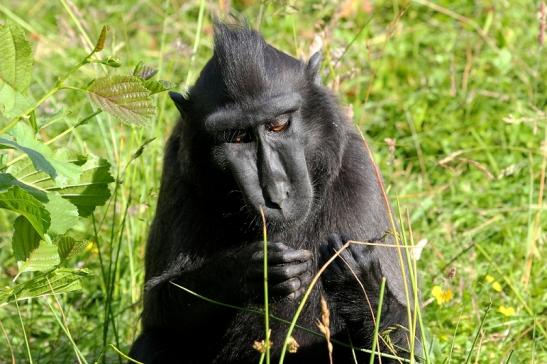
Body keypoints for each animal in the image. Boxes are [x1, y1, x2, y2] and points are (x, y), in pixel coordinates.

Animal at [131, 23, 422, 364]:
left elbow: (408, 348)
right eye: (237, 136)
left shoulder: (360, 173)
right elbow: (156, 306)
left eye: (279, 124)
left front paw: (361, 287)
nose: (274, 192)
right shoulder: (179, 167)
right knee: (154, 341)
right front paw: (251, 270)